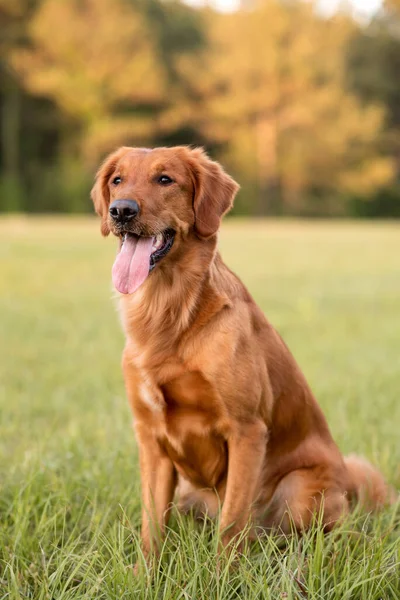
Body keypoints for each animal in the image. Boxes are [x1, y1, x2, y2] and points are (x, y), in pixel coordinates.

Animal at [90, 145, 394, 564]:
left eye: (165, 179)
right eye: (117, 180)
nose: (120, 210)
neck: (169, 315)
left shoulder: (246, 430)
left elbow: (232, 523)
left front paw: (221, 576)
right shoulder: (150, 437)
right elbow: (151, 527)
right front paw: (146, 574)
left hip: (299, 490)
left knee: (321, 538)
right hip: (189, 494)